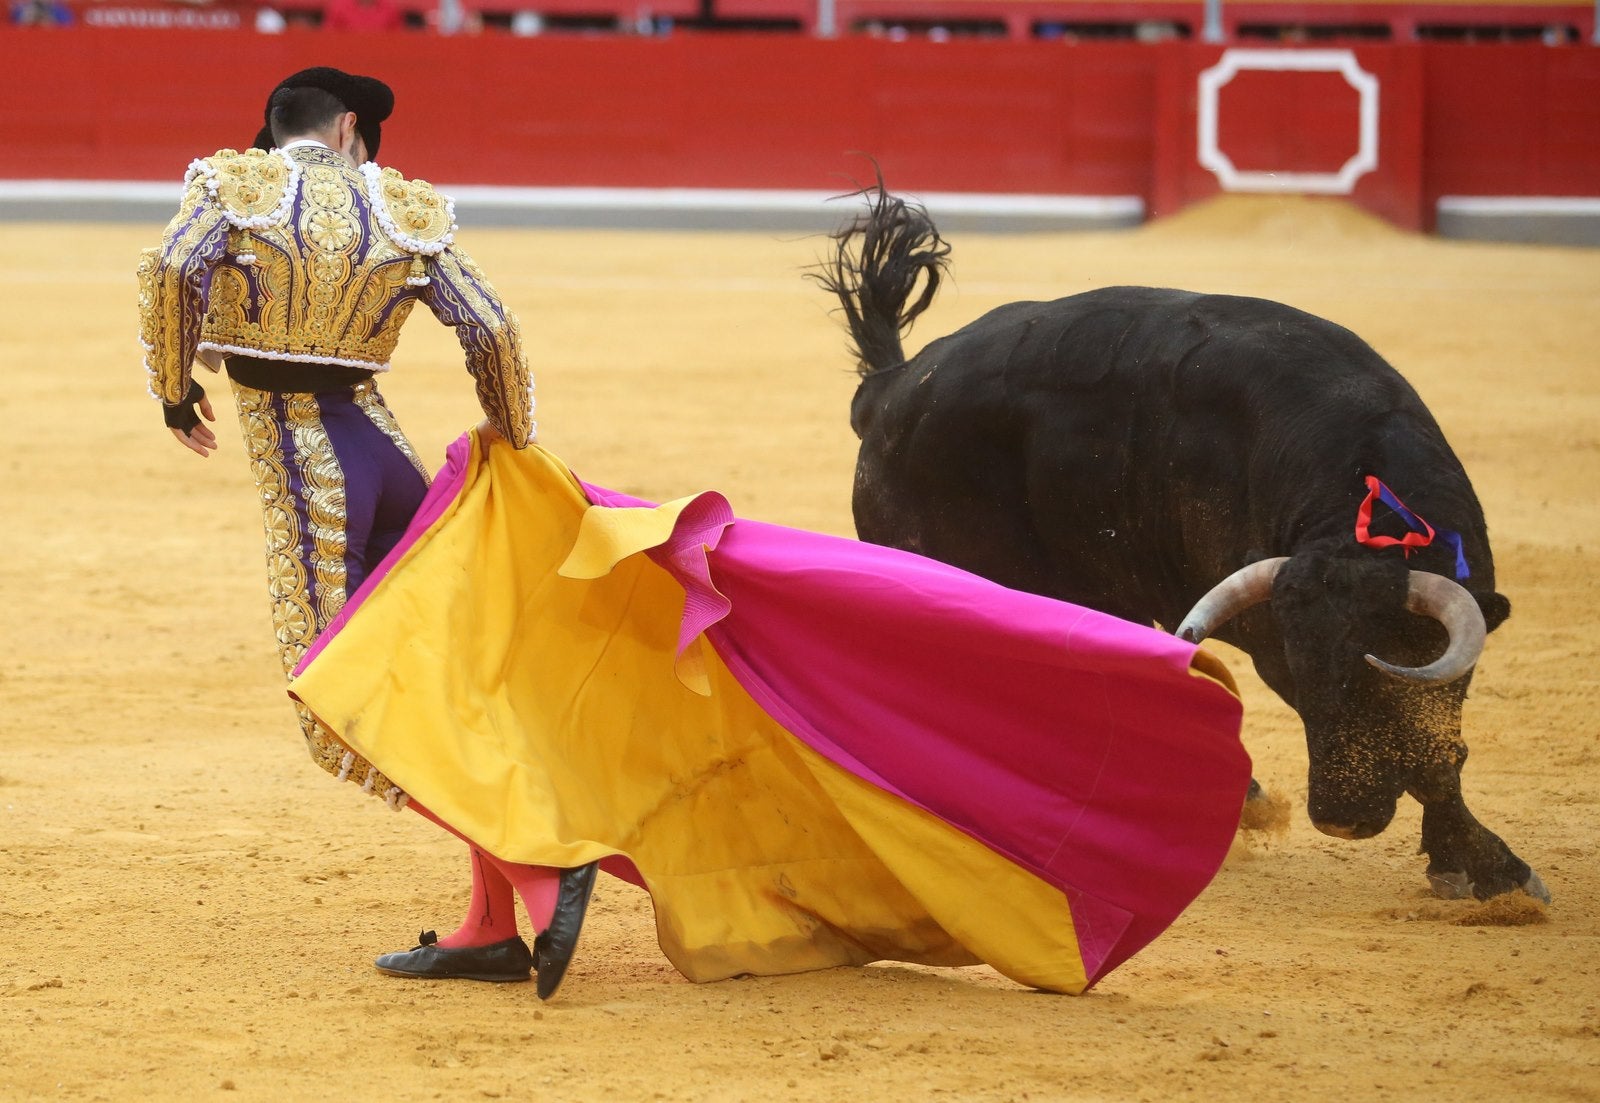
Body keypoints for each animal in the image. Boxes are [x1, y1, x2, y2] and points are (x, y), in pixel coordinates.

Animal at [819, 184, 1542, 896]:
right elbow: (1433, 752)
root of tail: (887, 390)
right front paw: (1492, 870)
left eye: (1383, 667)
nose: (1342, 816)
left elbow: (1439, 744)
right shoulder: (1268, 635)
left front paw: (1477, 867)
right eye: (1303, 673)